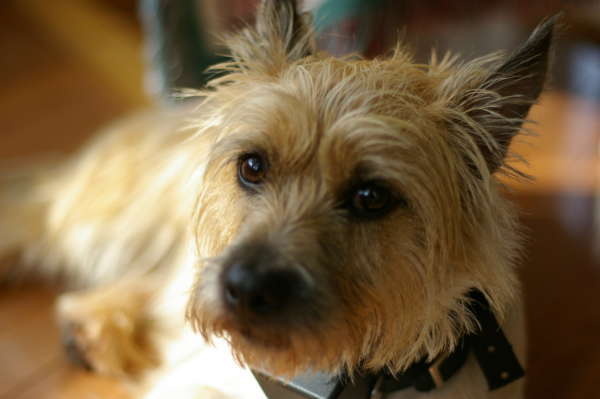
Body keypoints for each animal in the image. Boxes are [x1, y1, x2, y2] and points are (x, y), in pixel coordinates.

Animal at [0, 1, 556, 398]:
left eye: (371, 197)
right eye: (252, 166)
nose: (245, 288)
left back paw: (96, 331)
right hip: (109, 218)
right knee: (36, 209)